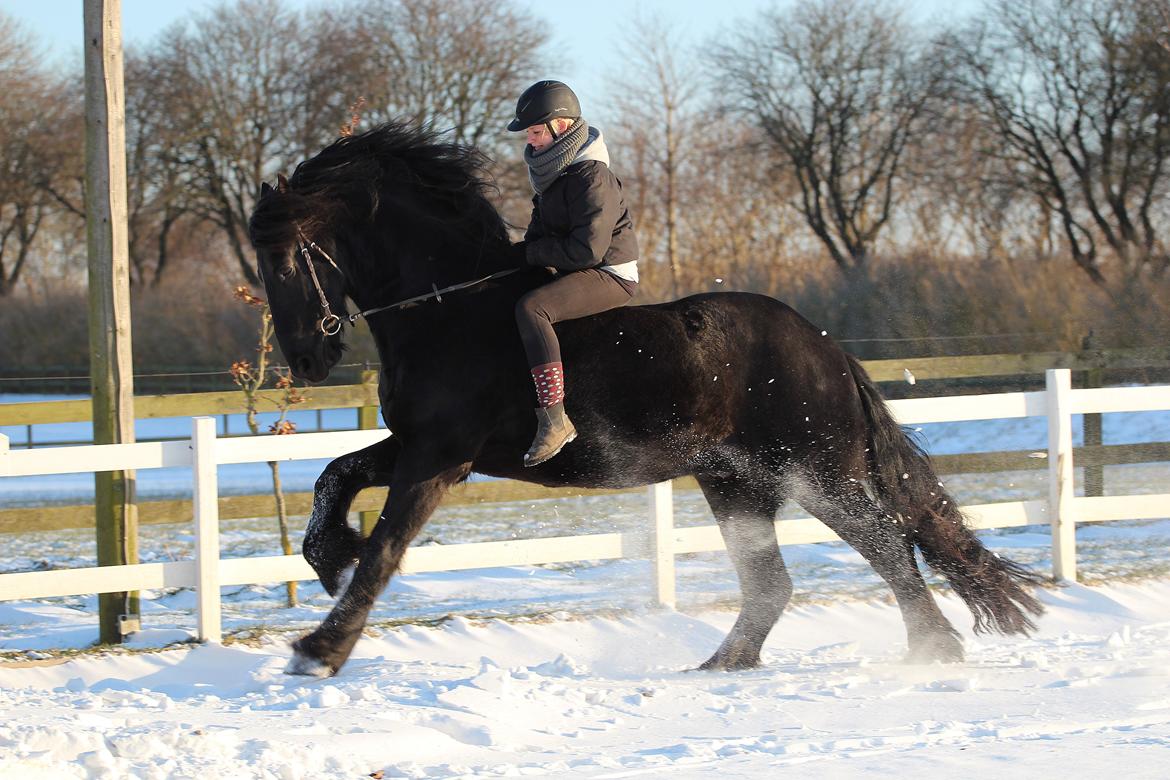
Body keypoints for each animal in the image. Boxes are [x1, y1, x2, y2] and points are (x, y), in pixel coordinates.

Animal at [246, 122, 1043, 678]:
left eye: (285, 258)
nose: (307, 359)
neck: (446, 308)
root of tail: (830, 351)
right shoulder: (422, 448)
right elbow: (334, 476)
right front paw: (327, 555)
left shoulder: (440, 458)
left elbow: (384, 550)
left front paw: (319, 649)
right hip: (737, 484)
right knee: (773, 584)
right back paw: (722, 665)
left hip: (816, 473)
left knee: (886, 542)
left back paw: (933, 651)